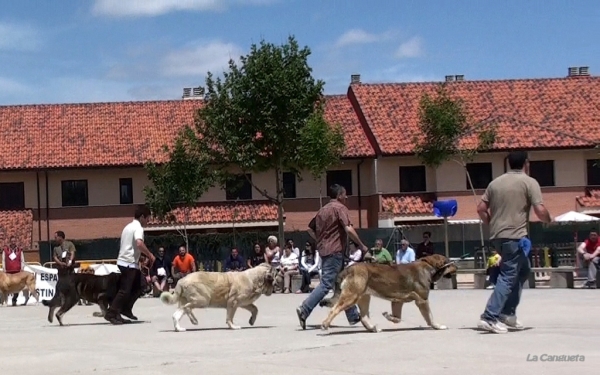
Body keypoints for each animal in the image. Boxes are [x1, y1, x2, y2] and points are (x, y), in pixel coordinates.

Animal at [322, 254, 458, 334]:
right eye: (449, 262)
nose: (456, 266)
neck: (429, 266)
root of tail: (348, 268)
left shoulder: (397, 301)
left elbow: (397, 318)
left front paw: (389, 316)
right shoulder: (422, 300)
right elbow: (429, 317)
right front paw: (437, 326)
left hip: (364, 297)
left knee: (364, 316)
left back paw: (373, 328)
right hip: (351, 296)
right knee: (334, 309)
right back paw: (325, 325)